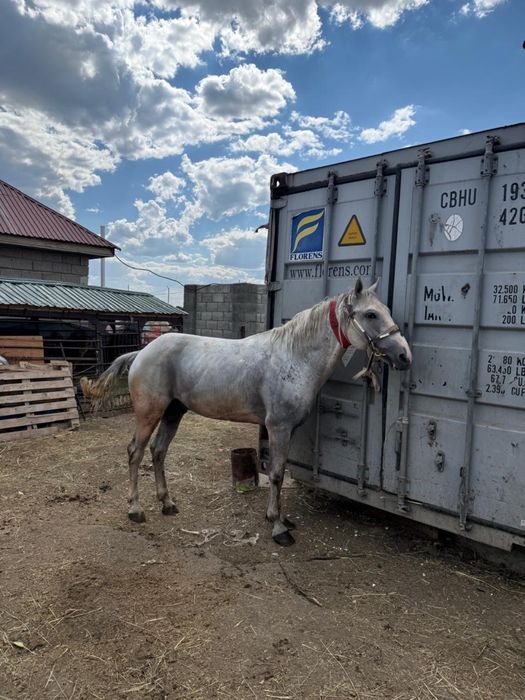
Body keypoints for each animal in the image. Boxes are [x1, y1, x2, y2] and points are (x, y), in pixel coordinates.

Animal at [81, 279, 411, 546]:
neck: (294, 358)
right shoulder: (278, 427)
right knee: (135, 452)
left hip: (174, 412)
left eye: (385, 310)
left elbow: (281, 472)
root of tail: (141, 352)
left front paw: (281, 518)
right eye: (371, 314)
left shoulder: (287, 430)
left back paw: (167, 503)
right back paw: (135, 509)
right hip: (149, 413)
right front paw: (278, 528)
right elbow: (277, 475)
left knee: (158, 451)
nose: (404, 355)